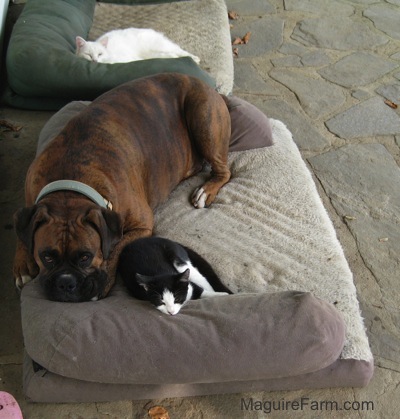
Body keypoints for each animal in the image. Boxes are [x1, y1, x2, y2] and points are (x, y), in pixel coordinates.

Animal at [14, 72, 231, 302]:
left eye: (85, 257)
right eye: (46, 256)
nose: (66, 282)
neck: (70, 180)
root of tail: (208, 87)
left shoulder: (142, 225)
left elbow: (117, 248)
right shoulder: (29, 201)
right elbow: (22, 229)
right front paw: (22, 265)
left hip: (203, 118)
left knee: (224, 170)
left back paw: (206, 190)